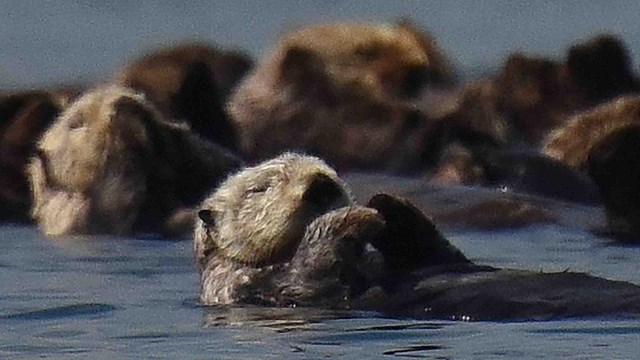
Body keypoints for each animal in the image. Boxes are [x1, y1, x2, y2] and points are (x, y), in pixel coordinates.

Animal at [194, 152, 640, 320]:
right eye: (260, 188)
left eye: (329, 169)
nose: (322, 184)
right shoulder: (256, 288)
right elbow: (311, 273)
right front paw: (355, 217)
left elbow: (437, 252)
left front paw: (386, 203)